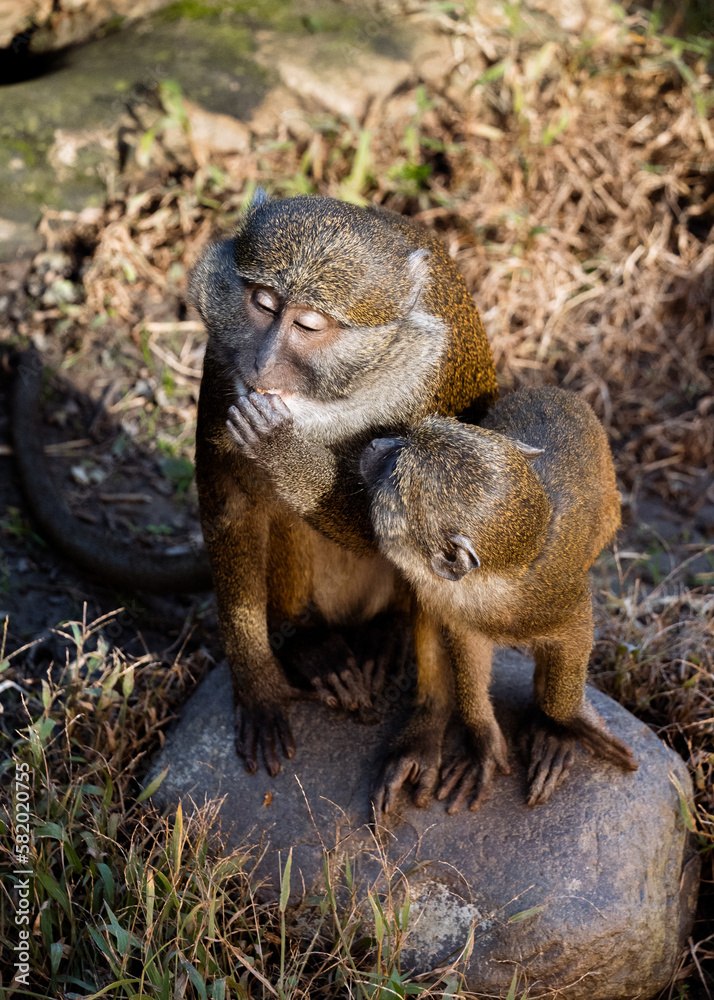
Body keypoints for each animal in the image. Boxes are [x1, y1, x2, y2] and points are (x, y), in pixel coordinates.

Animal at [357, 385, 638, 813]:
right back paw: (431, 718)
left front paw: (565, 718)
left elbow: (575, 630)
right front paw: (483, 737)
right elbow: (466, 641)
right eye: (400, 441)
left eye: (394, 470)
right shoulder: (451, 598)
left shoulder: (554, 593)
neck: (499, 572)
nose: (376, 444)